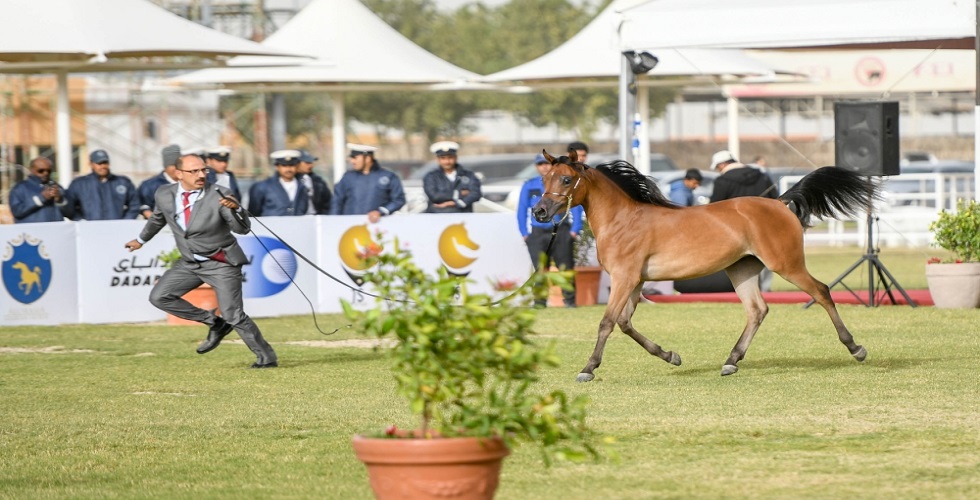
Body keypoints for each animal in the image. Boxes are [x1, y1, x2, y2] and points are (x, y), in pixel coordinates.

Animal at [532, 150, 876, 380]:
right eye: (543, 178)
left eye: (566, 179)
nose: (539, 212)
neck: (623, 220)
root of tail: (778, 202)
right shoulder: (635, 281)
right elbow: (625, 322)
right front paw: (671, 356)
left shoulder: (624, 278)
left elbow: (607, 322)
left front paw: (588, 368)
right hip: (742, 269)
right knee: (757, 310)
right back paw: (731, 361)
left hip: (786, 264)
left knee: (821, 291)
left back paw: (855, 348)